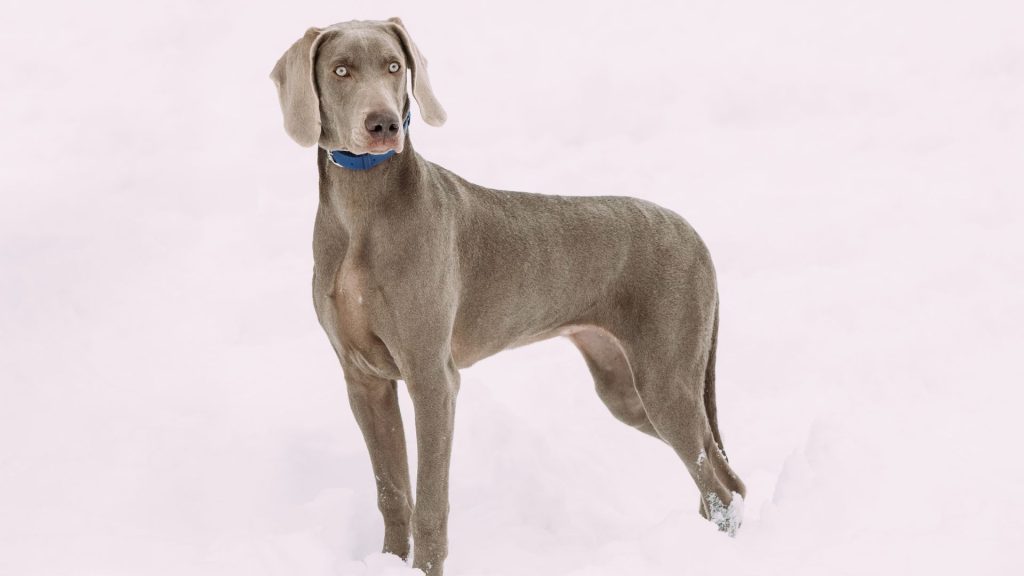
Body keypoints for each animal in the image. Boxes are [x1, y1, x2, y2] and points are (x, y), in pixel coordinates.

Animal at [270, 17, 745, 573]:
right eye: (341, 70)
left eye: (393, 66)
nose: (383, 124)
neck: (361, 208)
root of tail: (695, 234)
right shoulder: (363, 380)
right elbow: (392, 491)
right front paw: (388, 560)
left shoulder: (432, 378)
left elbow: (430, 501)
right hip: (625, 388)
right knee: (720, 474)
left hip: (664, 378)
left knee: (719, 485)